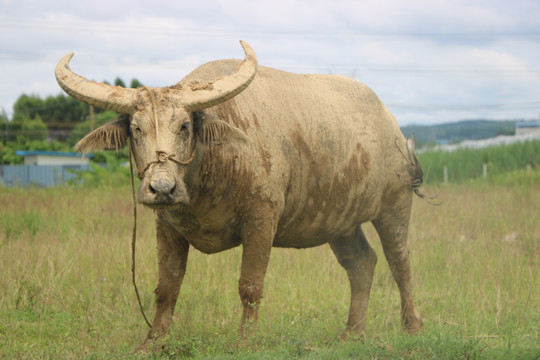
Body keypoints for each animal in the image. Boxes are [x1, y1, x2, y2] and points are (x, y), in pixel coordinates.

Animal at [57, 40, 424, 350]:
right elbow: (167, 286)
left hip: (395, 206)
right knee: (361, 262)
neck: (211, 169)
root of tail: (394, 128)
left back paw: (411, 326)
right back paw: (353, 332)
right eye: (136, 128)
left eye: (185, 126)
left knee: (399, 260)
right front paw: (152, 342)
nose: (162, 188)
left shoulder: (261, 219)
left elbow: (250, 286)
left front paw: (245, 341)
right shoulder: (167, 225)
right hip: (340, 222)